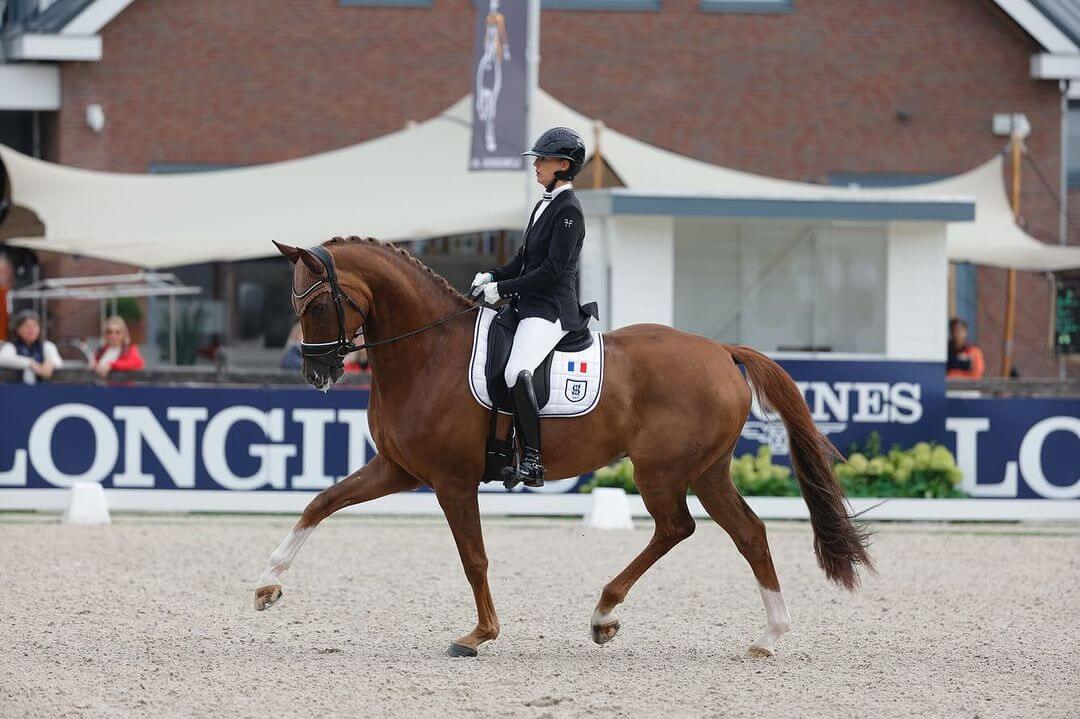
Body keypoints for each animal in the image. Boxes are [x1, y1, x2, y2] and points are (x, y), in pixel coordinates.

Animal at [255, 236, 873, 658]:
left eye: (316, 307)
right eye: (295, 306)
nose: (316, 375)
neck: (428, 353)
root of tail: (722, 350)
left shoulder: (451, 480)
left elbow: (473, 557)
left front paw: (479, 634)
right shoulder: (398, 469)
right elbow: (321, 503)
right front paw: (267, 584)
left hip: (660, 471)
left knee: (677, 528)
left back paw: (605, 614)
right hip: (706, 470)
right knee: (748, 532)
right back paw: (768, 635)